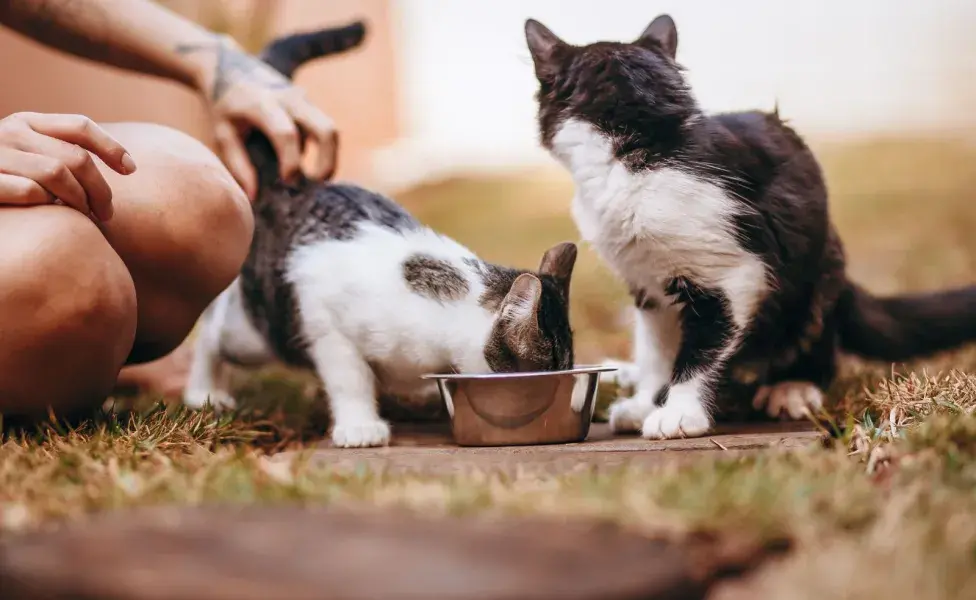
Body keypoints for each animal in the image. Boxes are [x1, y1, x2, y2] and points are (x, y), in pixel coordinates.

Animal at [181, 21, 580, 448]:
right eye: (551, 368)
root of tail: (293, 180)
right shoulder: (325, 322)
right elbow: (349, 378)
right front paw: (360, 425)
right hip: (258, 331)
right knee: (213, 328)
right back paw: (205, 391)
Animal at [528, 14, 976, 440]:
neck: (646, 146)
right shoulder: (647, 283)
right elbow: (656, 347)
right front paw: (645, 401)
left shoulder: (735, 273)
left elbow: (701, 349)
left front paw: (679, 411)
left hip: (817, 273)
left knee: (814, 336)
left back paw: (793, 387)